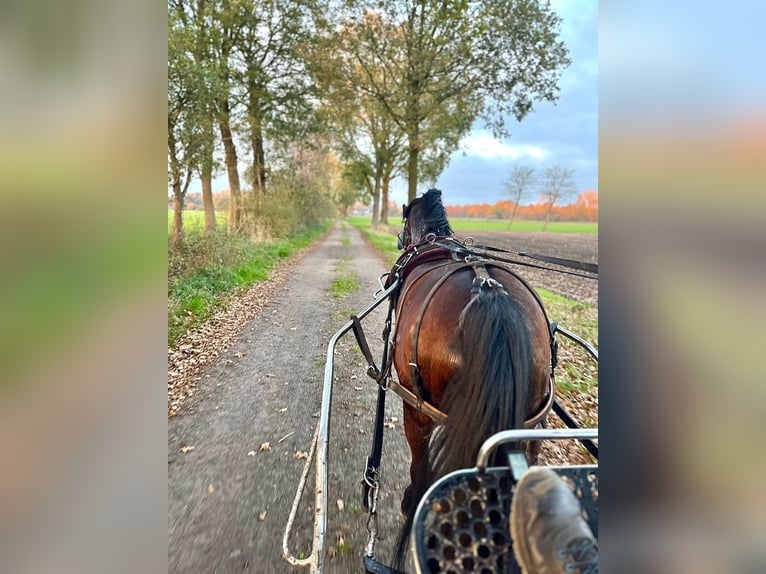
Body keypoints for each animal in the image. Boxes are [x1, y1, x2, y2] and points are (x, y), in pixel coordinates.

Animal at [392, 190, 556, 572]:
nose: (398, 240)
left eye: (404, 220)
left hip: (416, 410)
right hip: (532, 422)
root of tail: (489, 294)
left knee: (420, 461)